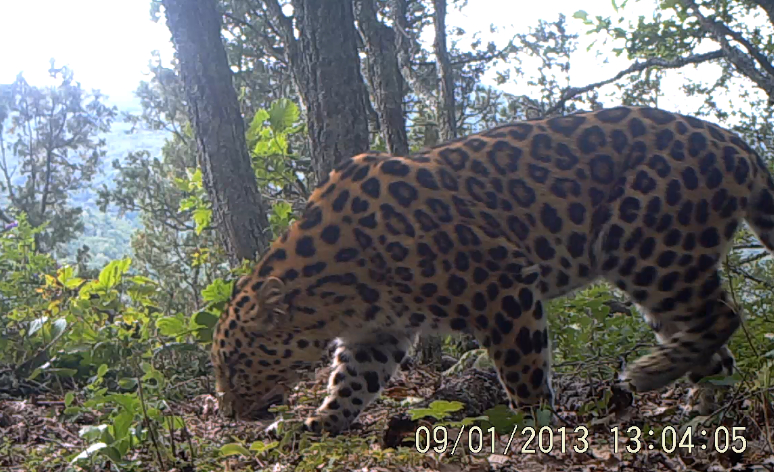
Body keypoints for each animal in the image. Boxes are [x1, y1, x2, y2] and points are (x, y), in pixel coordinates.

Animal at [209, 105, 774, 434]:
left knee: (723, 314)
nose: (229, 412)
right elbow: (349, 382)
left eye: (234, 364)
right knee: (708, 337)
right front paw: (316, 423)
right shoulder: (377, 332)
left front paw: (534, 425)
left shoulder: (502, 286)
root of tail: (738, 145)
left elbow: (524, 369)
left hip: (644, 242)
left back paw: (650, 372)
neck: (333, 290)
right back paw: (704, 400)